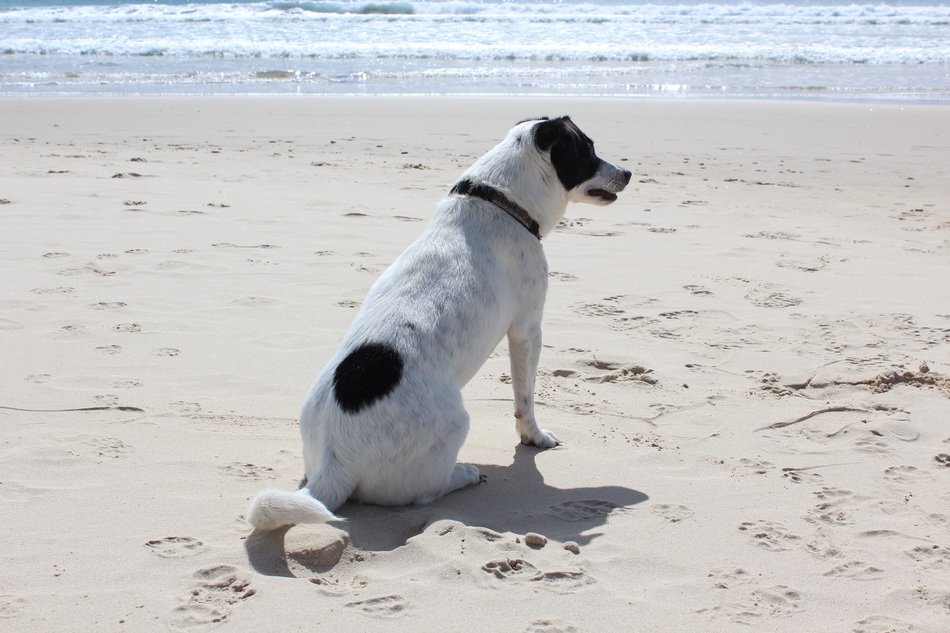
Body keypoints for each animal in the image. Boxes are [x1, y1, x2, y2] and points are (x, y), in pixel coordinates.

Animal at [245, 116, 632, 532]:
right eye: (588, 150)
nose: (628, 173)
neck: (499, 201)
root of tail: (336, 461)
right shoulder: (527, 331)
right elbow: (525, 399)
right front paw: (535, 436)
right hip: (455, 424)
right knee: (424, 492)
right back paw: (463, 474)